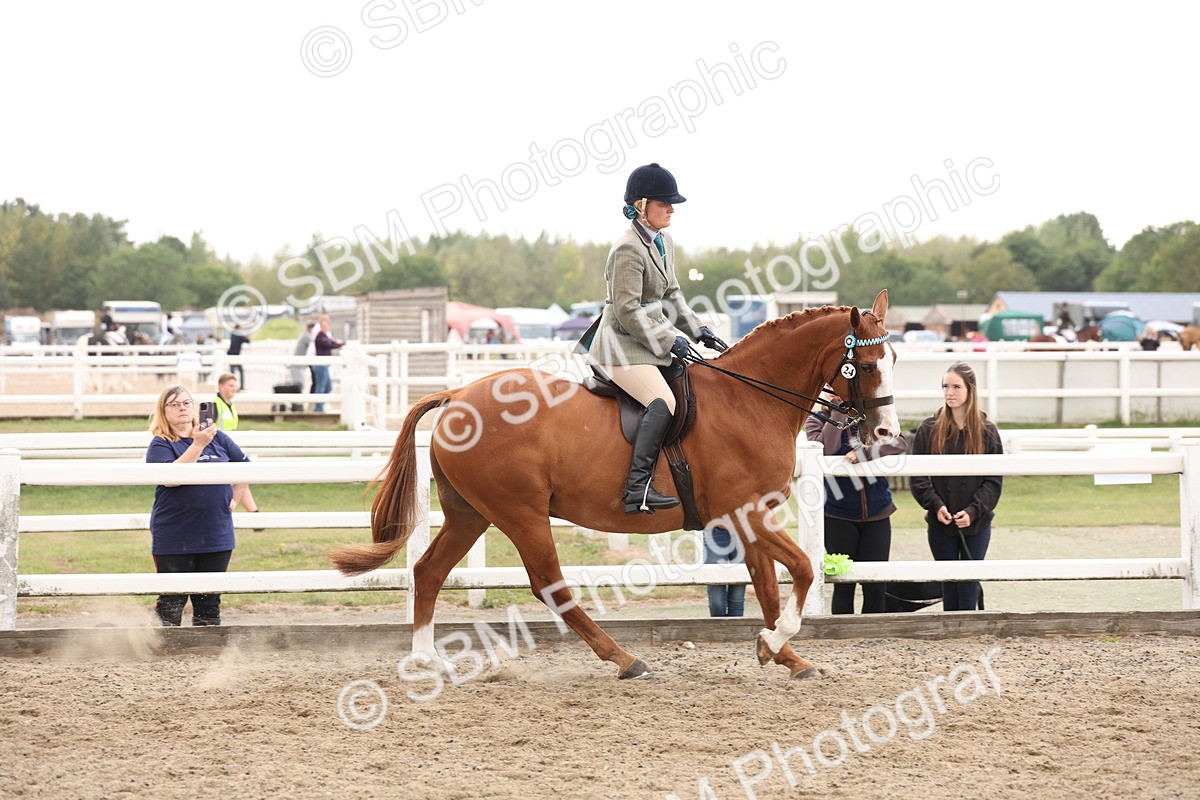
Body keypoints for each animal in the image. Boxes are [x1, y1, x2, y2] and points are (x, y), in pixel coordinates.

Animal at [330, 290, 900, 681]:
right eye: (867, 364)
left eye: (893, 361)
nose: (886, 434)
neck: (751, 400)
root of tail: (457, 395)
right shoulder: (749, 513)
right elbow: (802, 568)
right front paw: (778, 640)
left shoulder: (745, 518)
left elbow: (766, 584)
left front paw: (780, 653)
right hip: (521, 513)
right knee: (549, 585)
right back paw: (624, 659)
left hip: (472, 514)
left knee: (428, 572)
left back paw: (425, 660)